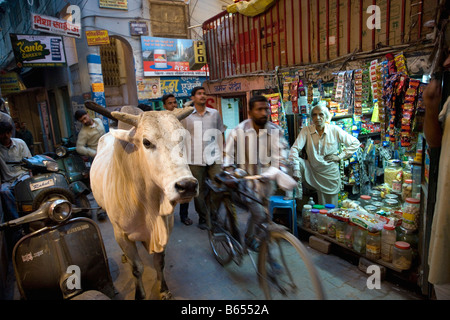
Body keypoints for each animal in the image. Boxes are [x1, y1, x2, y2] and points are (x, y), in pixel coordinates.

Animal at [89, 106, 197, 298]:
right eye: (146, 142)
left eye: (182, 139)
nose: (188, 185)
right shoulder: (122, 234)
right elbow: (137, 268)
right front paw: (139, 294)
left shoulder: (165, 231)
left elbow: (159, 262)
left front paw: (164, 290)